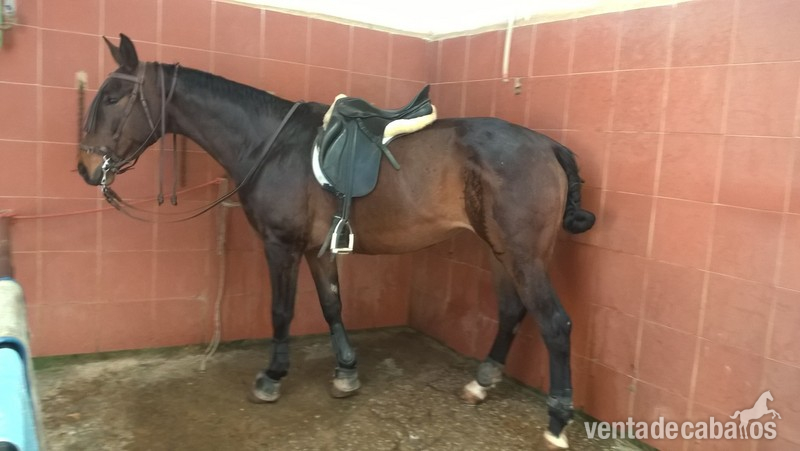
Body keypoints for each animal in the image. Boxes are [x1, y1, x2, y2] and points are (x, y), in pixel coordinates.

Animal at [77, 34, 595, 449]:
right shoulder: (317, 249)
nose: (85, 168)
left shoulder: (281, 245)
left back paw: (556, 422)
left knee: (555, 324)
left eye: (113, 97)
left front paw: (272, 377)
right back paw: (481, 383)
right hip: (498, 251)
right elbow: (331, 305)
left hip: (522, 255)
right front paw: (346, 372)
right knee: (511, 311)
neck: (270, 144)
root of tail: (548, 145)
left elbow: (281, 311)